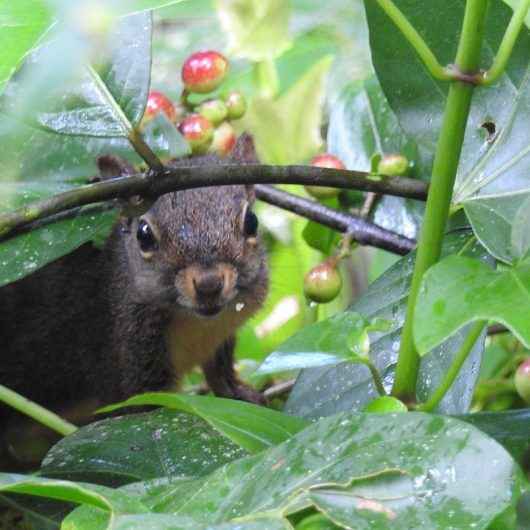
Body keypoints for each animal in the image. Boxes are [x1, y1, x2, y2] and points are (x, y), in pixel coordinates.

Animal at [0, 134, 266, 436]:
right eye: (144, 235)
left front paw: (239, 393)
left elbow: (219, 368)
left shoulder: (224, 330)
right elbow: (142, 408)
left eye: (251, 221)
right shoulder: (126, 358)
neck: (195, 322)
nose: (209, 284)